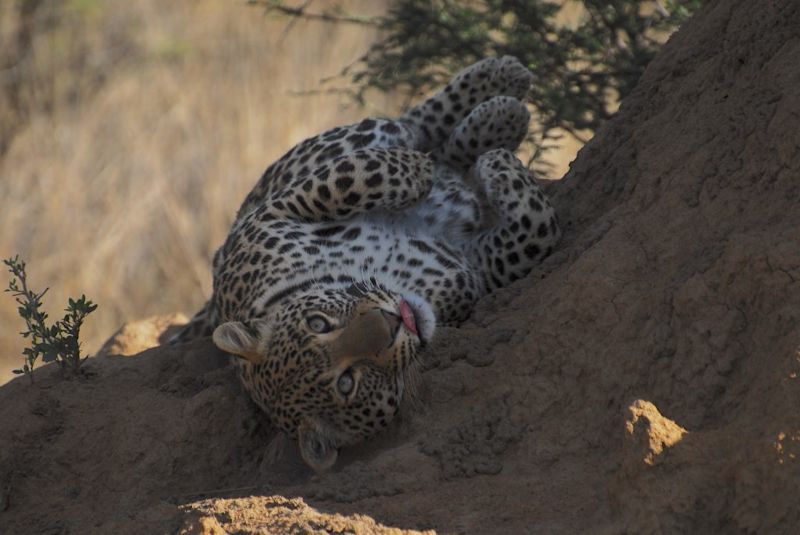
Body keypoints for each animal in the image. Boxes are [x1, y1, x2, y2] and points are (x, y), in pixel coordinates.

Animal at [173, 56, 564, 472]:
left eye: (318, 324)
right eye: (348, 382)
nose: (391, 321)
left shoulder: (270, 217)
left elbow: (352, 179)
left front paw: (426, 170)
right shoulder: (471, 268)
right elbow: (532, 231)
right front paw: (499, 168)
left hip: (334, 144)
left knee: (407, 125)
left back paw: (501, 92)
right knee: (439, 149)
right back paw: (494, 129)